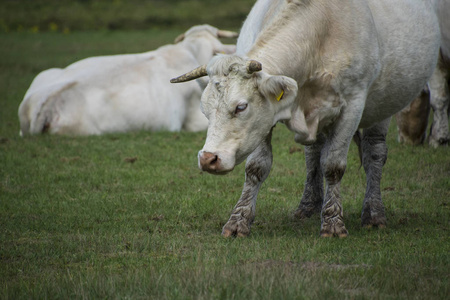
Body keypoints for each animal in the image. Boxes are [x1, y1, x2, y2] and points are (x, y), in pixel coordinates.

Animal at [171, 1, 438, 238]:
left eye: (241, 107)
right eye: (205, 110)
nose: (208, 159)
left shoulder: (353, 106)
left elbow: (333, 166)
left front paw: (333, 224)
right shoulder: (265, 119)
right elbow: (257, 167)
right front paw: (238, 222)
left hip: (383, 107)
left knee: (375, 153)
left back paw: (373, 213)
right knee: (313, 154)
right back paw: (309, 206)